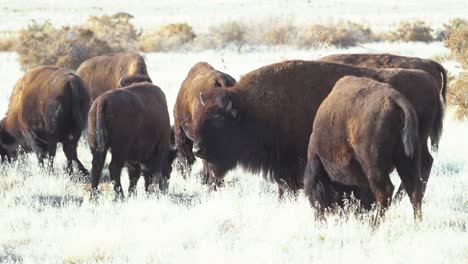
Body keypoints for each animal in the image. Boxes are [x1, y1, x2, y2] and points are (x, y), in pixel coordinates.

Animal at [191, 59, 442, 198]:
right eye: (200, 116)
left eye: (218, 120)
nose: (197, 150)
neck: (251, 108)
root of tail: (429, 81)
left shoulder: (293, 163)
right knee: (424, 168)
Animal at [306, 76, 422, 223]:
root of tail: (396, 99)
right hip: (407, 159)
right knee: (414, 191)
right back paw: (417, 223)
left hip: (374, 166)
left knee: (385, 192)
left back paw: (373, 224)